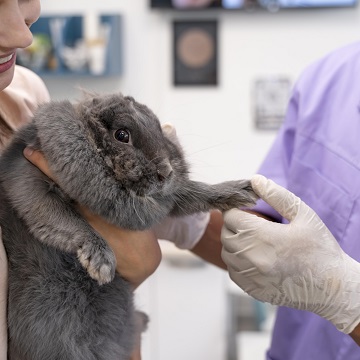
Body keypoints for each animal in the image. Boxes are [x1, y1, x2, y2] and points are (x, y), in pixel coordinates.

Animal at [0, 93, 258, 360]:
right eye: (122, 135)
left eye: (159, 128)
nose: (166, 171)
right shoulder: (31, 184)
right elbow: (68, 221)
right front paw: (101, 263)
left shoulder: (172, 199)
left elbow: (196, 192)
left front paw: (240, 191)